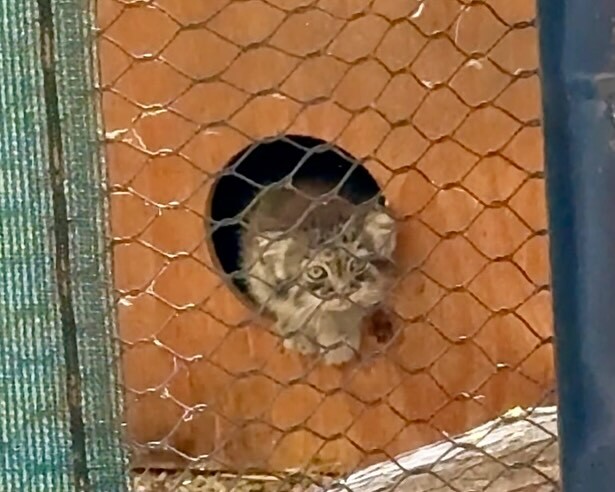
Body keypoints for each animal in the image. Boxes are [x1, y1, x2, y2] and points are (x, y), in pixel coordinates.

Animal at [238, 178, 398, 366]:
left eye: (357, 264)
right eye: (316, 272)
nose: (343, 292)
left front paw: (338, 342)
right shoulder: (258, 276)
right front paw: (297, 334)